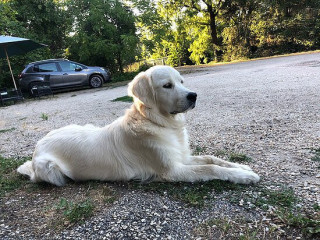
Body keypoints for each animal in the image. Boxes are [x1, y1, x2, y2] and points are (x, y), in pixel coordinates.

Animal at [16, 66, 260, 188]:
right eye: (167, 85)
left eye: (181, 81)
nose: (194, 96)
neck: (160, 123)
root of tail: (37, 146)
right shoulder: (172, 170)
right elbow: (210, 168)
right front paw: (244, 176)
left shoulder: (181, 157)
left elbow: (211, 158)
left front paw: (241, 167)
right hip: (49, 168)